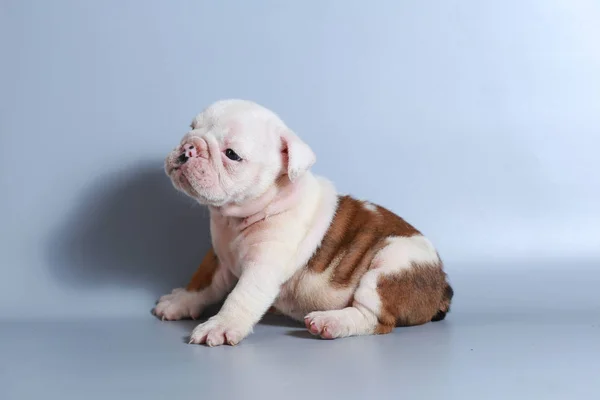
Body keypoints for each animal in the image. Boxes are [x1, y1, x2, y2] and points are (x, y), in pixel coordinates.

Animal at [152, 98, 452, 346]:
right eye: (192, 127)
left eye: (231, 154)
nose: (189, 146)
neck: (234, 219)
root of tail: (442, 286)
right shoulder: (217, 257)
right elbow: (202, 280)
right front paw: (181, 301)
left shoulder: (263, 266)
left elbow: (241, 297)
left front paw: (221, 325)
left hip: (391, 265)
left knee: (375, 319)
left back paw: (331, 321)